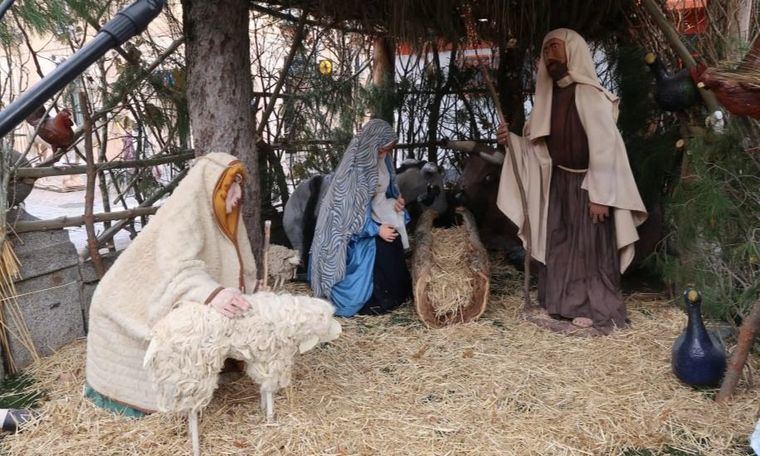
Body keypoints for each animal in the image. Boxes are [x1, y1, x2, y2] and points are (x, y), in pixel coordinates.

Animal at [142, 292, 342, 456]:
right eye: (329, 319)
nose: (339, 331)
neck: (294, 318)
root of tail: (158, 335)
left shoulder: (259, 359)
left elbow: (264, 387)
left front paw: (263, 409)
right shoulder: (272, 358)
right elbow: (269, 388)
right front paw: (270, 418)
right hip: (192, 375)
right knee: (192, 409)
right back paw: (196, 446)